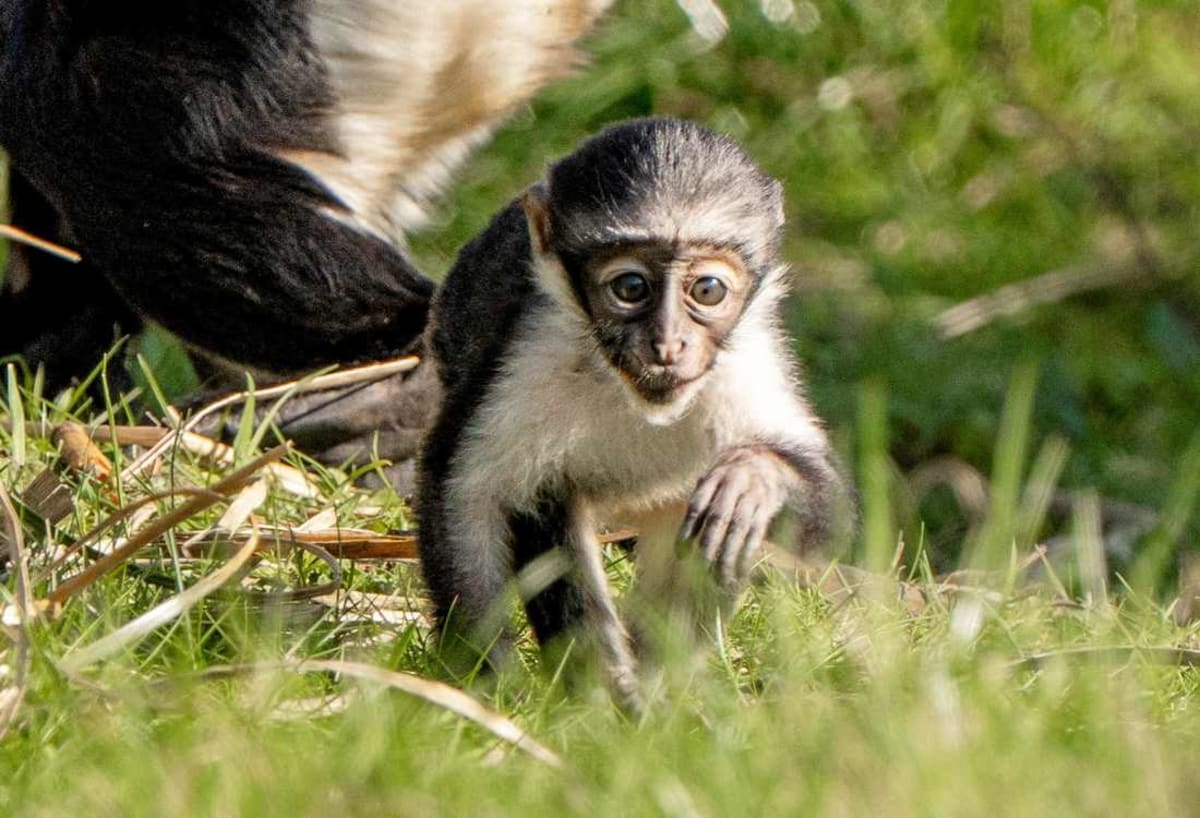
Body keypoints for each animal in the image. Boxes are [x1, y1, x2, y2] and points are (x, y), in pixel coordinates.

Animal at [417, 118, 851, 707]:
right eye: (630, 287)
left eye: (707, 289)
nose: (666, 344)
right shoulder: (530, 351)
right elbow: (463, 489)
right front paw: (492, 680)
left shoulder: (746, 366)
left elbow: (831, 513)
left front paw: (756, 479)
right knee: (542, 498)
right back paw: (601, 694)